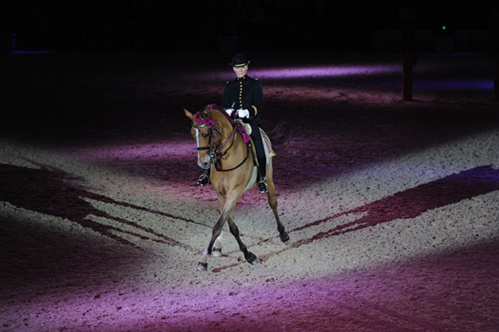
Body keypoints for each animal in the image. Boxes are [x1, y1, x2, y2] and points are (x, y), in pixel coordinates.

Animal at [185, 105, 292, 272]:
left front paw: (203, 260)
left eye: (206, 133)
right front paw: (247, 254)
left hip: (269, 178)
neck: (226, 158)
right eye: (192, 133)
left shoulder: (234, 193)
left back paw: (283, 234)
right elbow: (230, 225)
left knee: (273, 203)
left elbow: (218, 226)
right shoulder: (222, 195)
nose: (203, 163)